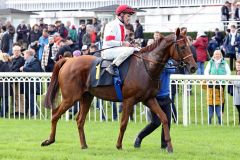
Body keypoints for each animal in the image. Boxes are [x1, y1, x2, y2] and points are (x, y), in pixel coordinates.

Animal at [41, 28, 198, 152]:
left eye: (189, 45)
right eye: (182, 47)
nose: (193, 67)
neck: (145, 66)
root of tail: (68, 60)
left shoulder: (149, 99)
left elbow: (164, 118)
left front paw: (169, 146)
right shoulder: (129, 100)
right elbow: (123, 123)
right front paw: (118, 145)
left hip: (87, 96)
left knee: (80, 120)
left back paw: (84, 145)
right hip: (70, 97)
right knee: (55, 114)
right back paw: (49, 140)